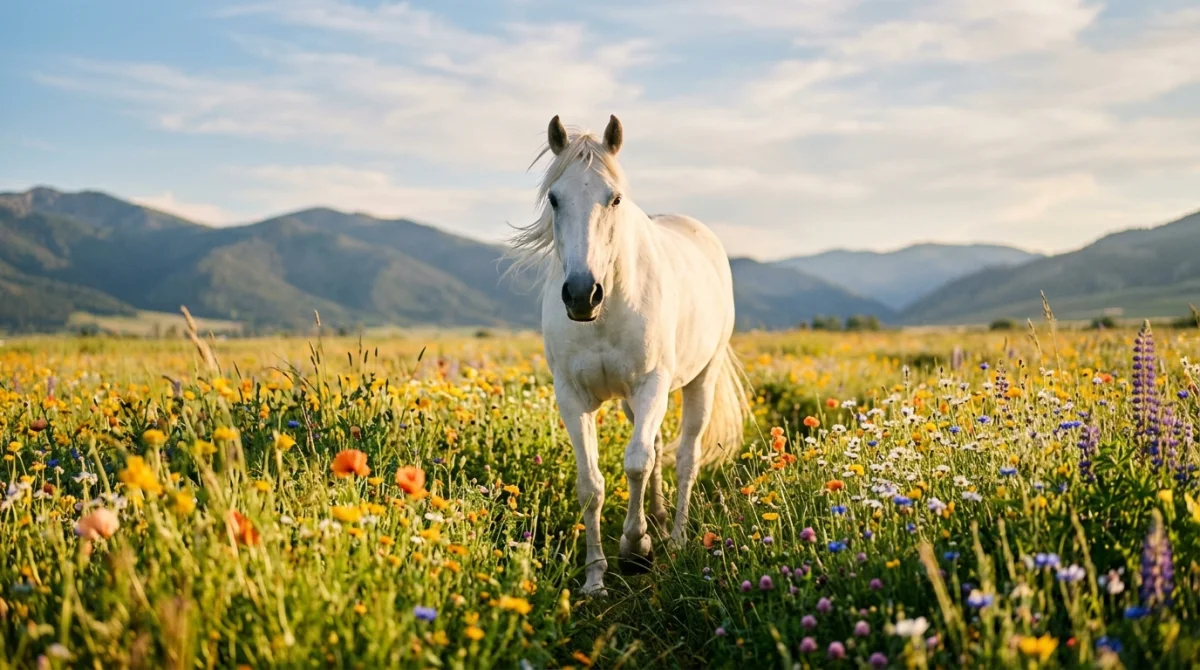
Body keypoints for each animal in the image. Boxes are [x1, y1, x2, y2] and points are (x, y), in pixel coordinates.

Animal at [508, 114, 750, 594]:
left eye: (614, 198)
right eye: (554, 198)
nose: (582, 294)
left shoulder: (651, 383)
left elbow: (636, 463)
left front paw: (636, 550)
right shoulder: (572, 396)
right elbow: (591, 484)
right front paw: (595, 576)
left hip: (701, 379)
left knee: (685, 457)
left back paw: (675, 538)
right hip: (628, 400)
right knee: (655, 445)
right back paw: (657, 516)